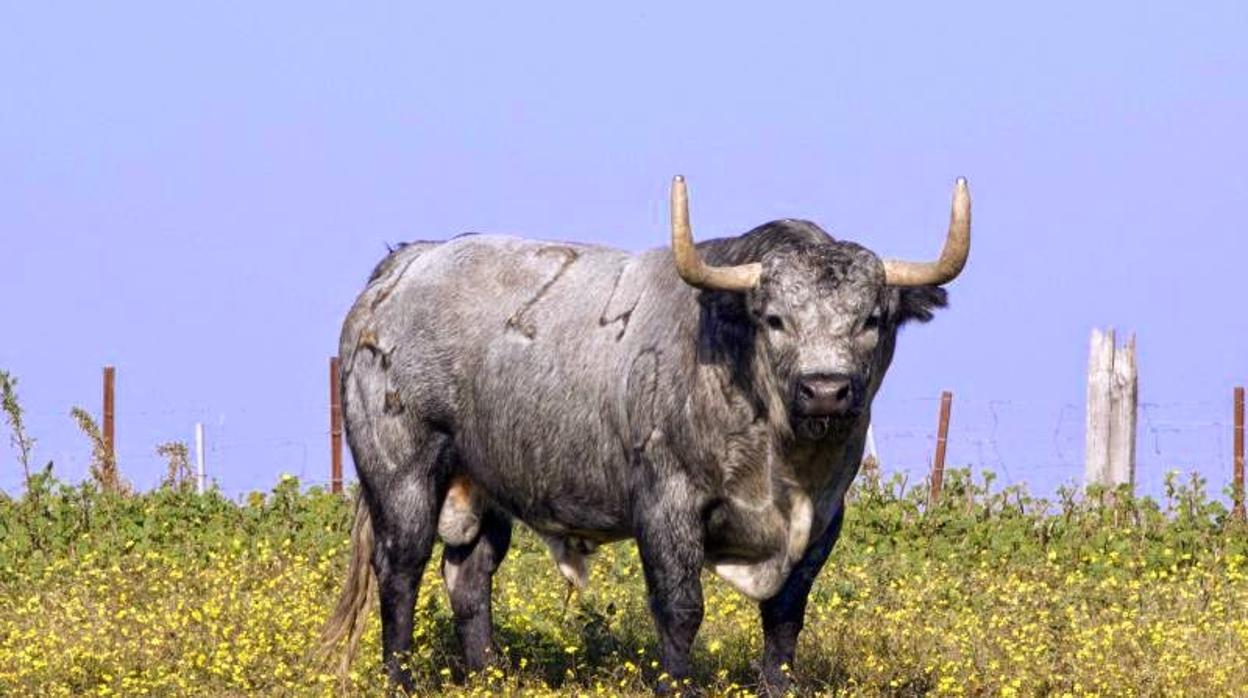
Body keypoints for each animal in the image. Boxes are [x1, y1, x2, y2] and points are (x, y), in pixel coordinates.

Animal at [316, 176, 968, 694]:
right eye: (774, 319)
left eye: (872, 319)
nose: (825, 389)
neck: (782, 465)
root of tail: (407, 265)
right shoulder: (666, 505)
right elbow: (680, 607)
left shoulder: (825, 519)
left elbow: (785, 614)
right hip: (401, 474)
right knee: (400, 570)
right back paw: (400, 679)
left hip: (481, 484)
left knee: (470, 579)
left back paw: (488, 676)